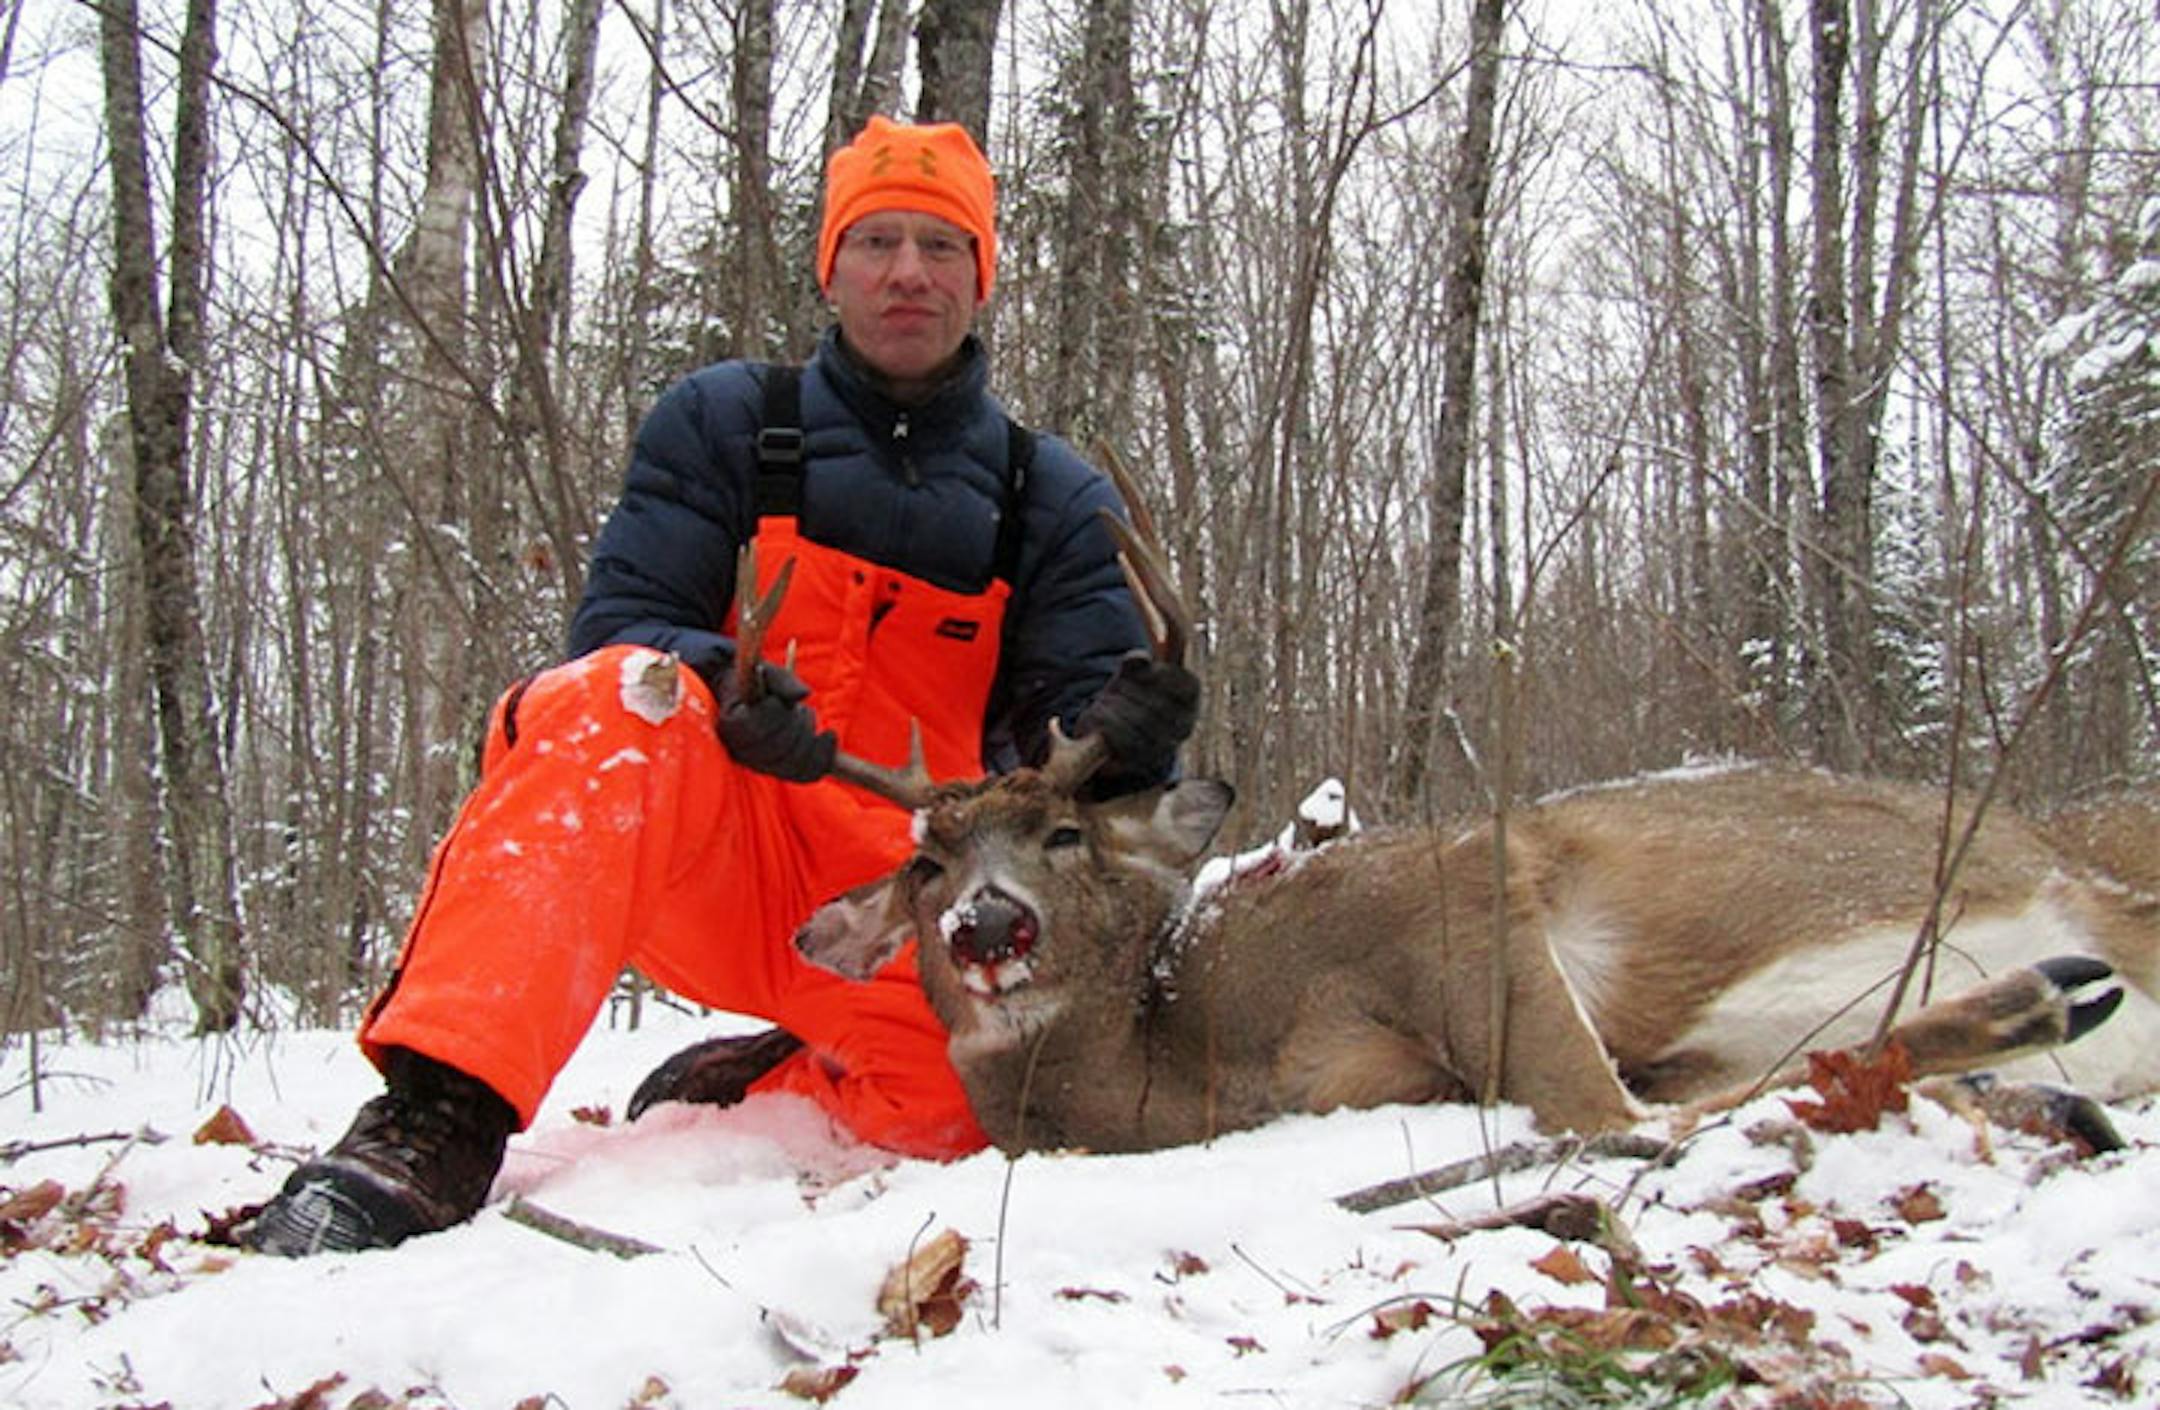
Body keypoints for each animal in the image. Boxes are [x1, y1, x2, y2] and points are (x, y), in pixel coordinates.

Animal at [742, 526, 2160, 1156]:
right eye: (924, 867)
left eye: (1064, 833)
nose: (988, 925)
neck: (1184, 1056)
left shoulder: (1453, 889)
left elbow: (1609, 1106)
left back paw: (2047, 1002)